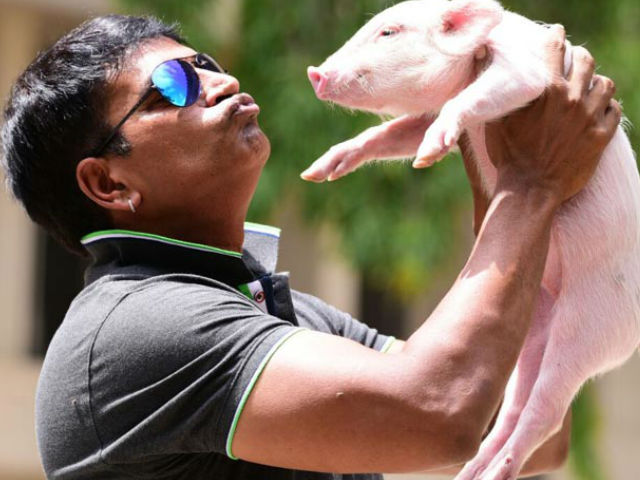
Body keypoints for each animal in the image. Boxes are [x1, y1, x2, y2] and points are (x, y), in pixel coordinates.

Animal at [302, 1, 640, 479]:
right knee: (516, 401)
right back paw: (476, 468)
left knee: (548, 410)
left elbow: (474, 97)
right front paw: (319, 170)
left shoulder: (525, 70)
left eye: (389, 32)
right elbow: (393, 134)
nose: (315, 72)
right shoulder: (421, 115)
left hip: (593, 324)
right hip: (536, 323)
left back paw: (498, 467)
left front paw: (431, 150)